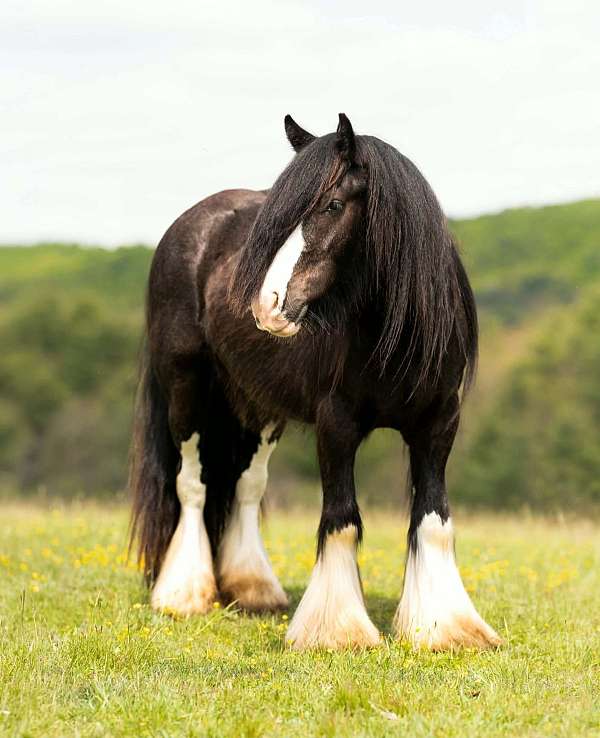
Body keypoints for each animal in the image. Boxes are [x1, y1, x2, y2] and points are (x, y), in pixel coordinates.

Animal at [129, 113, 501, 651]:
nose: (267, 304)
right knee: (192, 485)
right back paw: (183, 595)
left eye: (332, 205)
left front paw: (444, 628)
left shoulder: (437, 427)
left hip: (260, 410)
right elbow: (341, 520)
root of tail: (189, 225)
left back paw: (255, 589)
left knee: (246, 485)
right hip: (186, 391)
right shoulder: (336, 426)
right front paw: (338, 630)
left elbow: (433, 522)